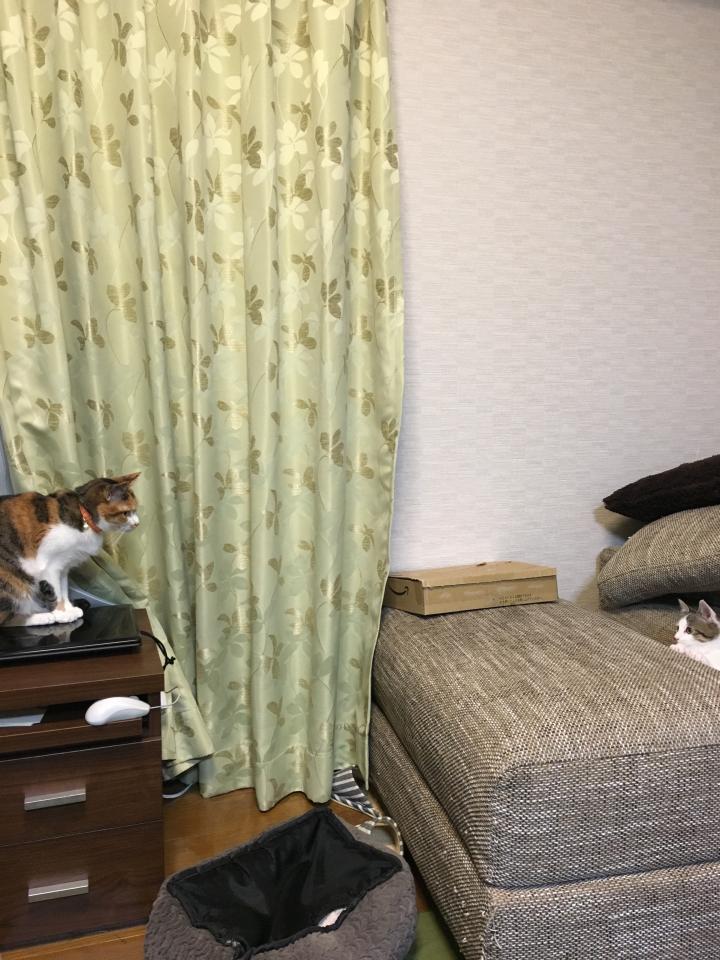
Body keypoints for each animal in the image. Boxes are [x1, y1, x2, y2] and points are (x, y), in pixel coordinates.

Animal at [0, 472, 140, 627]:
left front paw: (70, 609)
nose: (137, 523)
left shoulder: (64, 565)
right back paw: (43, 617)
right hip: (10, 581)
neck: (84, 514)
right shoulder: (49, 566)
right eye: (126, 513)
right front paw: (62, 614)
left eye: (135, 511)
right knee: (8, 620)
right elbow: (56, 592)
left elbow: (63, 589)